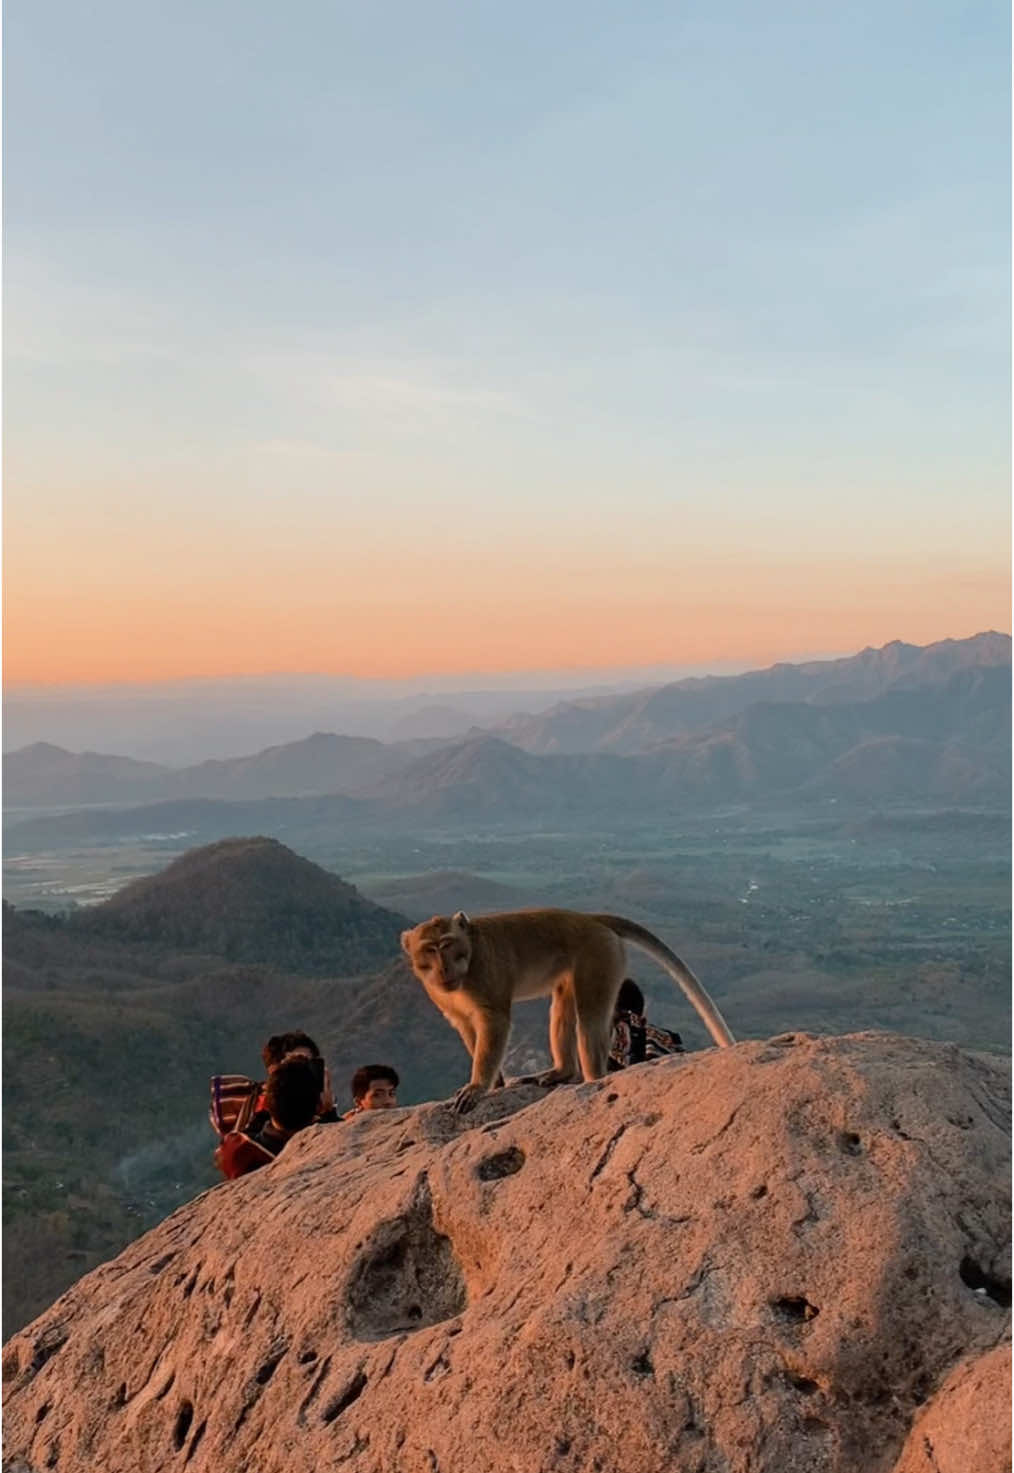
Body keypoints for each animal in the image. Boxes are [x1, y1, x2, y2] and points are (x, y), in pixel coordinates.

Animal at [397, 901, 736, 1107]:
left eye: (447, 945)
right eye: (429, 950)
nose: (443, 970)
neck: (468, 961)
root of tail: (588, 919)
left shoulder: (484, 973)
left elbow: (494, 1022)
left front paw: (477, 1087)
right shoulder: (440, 992)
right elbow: (466, 1026)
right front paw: (496, 1084)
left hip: (599, 956)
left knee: (590, 1019)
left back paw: (594, 1079)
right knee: (563, 1008)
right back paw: (563, 1071)